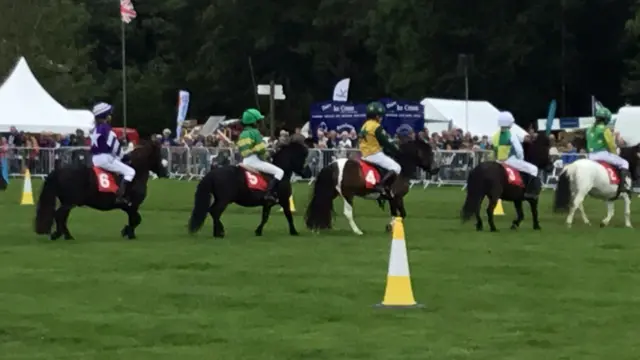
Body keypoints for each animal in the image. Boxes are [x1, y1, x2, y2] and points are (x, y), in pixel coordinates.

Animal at [35, 141, 168, 239]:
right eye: (159, 155)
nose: (165, 173)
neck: (136, 173)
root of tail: (58, 171)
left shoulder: (128, 207)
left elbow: (134, 219)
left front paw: (128, 232)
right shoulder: (133, 205)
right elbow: (136, 219)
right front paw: (128, 233)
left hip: (68, 202)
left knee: (62, 217)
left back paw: (66, 235)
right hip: (69, 202)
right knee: (59, 216)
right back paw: (60, 235)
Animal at [304, 139, 436, 235]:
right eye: (428, 153)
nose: (436, 169)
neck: (401, 169)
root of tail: (332, 165)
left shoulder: (393, 199)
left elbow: (398, 214)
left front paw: (390, 227)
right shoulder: (396, 198)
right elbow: (401, 214)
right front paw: (390, 226)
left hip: (332, 192)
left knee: (321, 203)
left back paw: (316, 227)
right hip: (348, 194)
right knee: (347, 213)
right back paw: (358, 231)